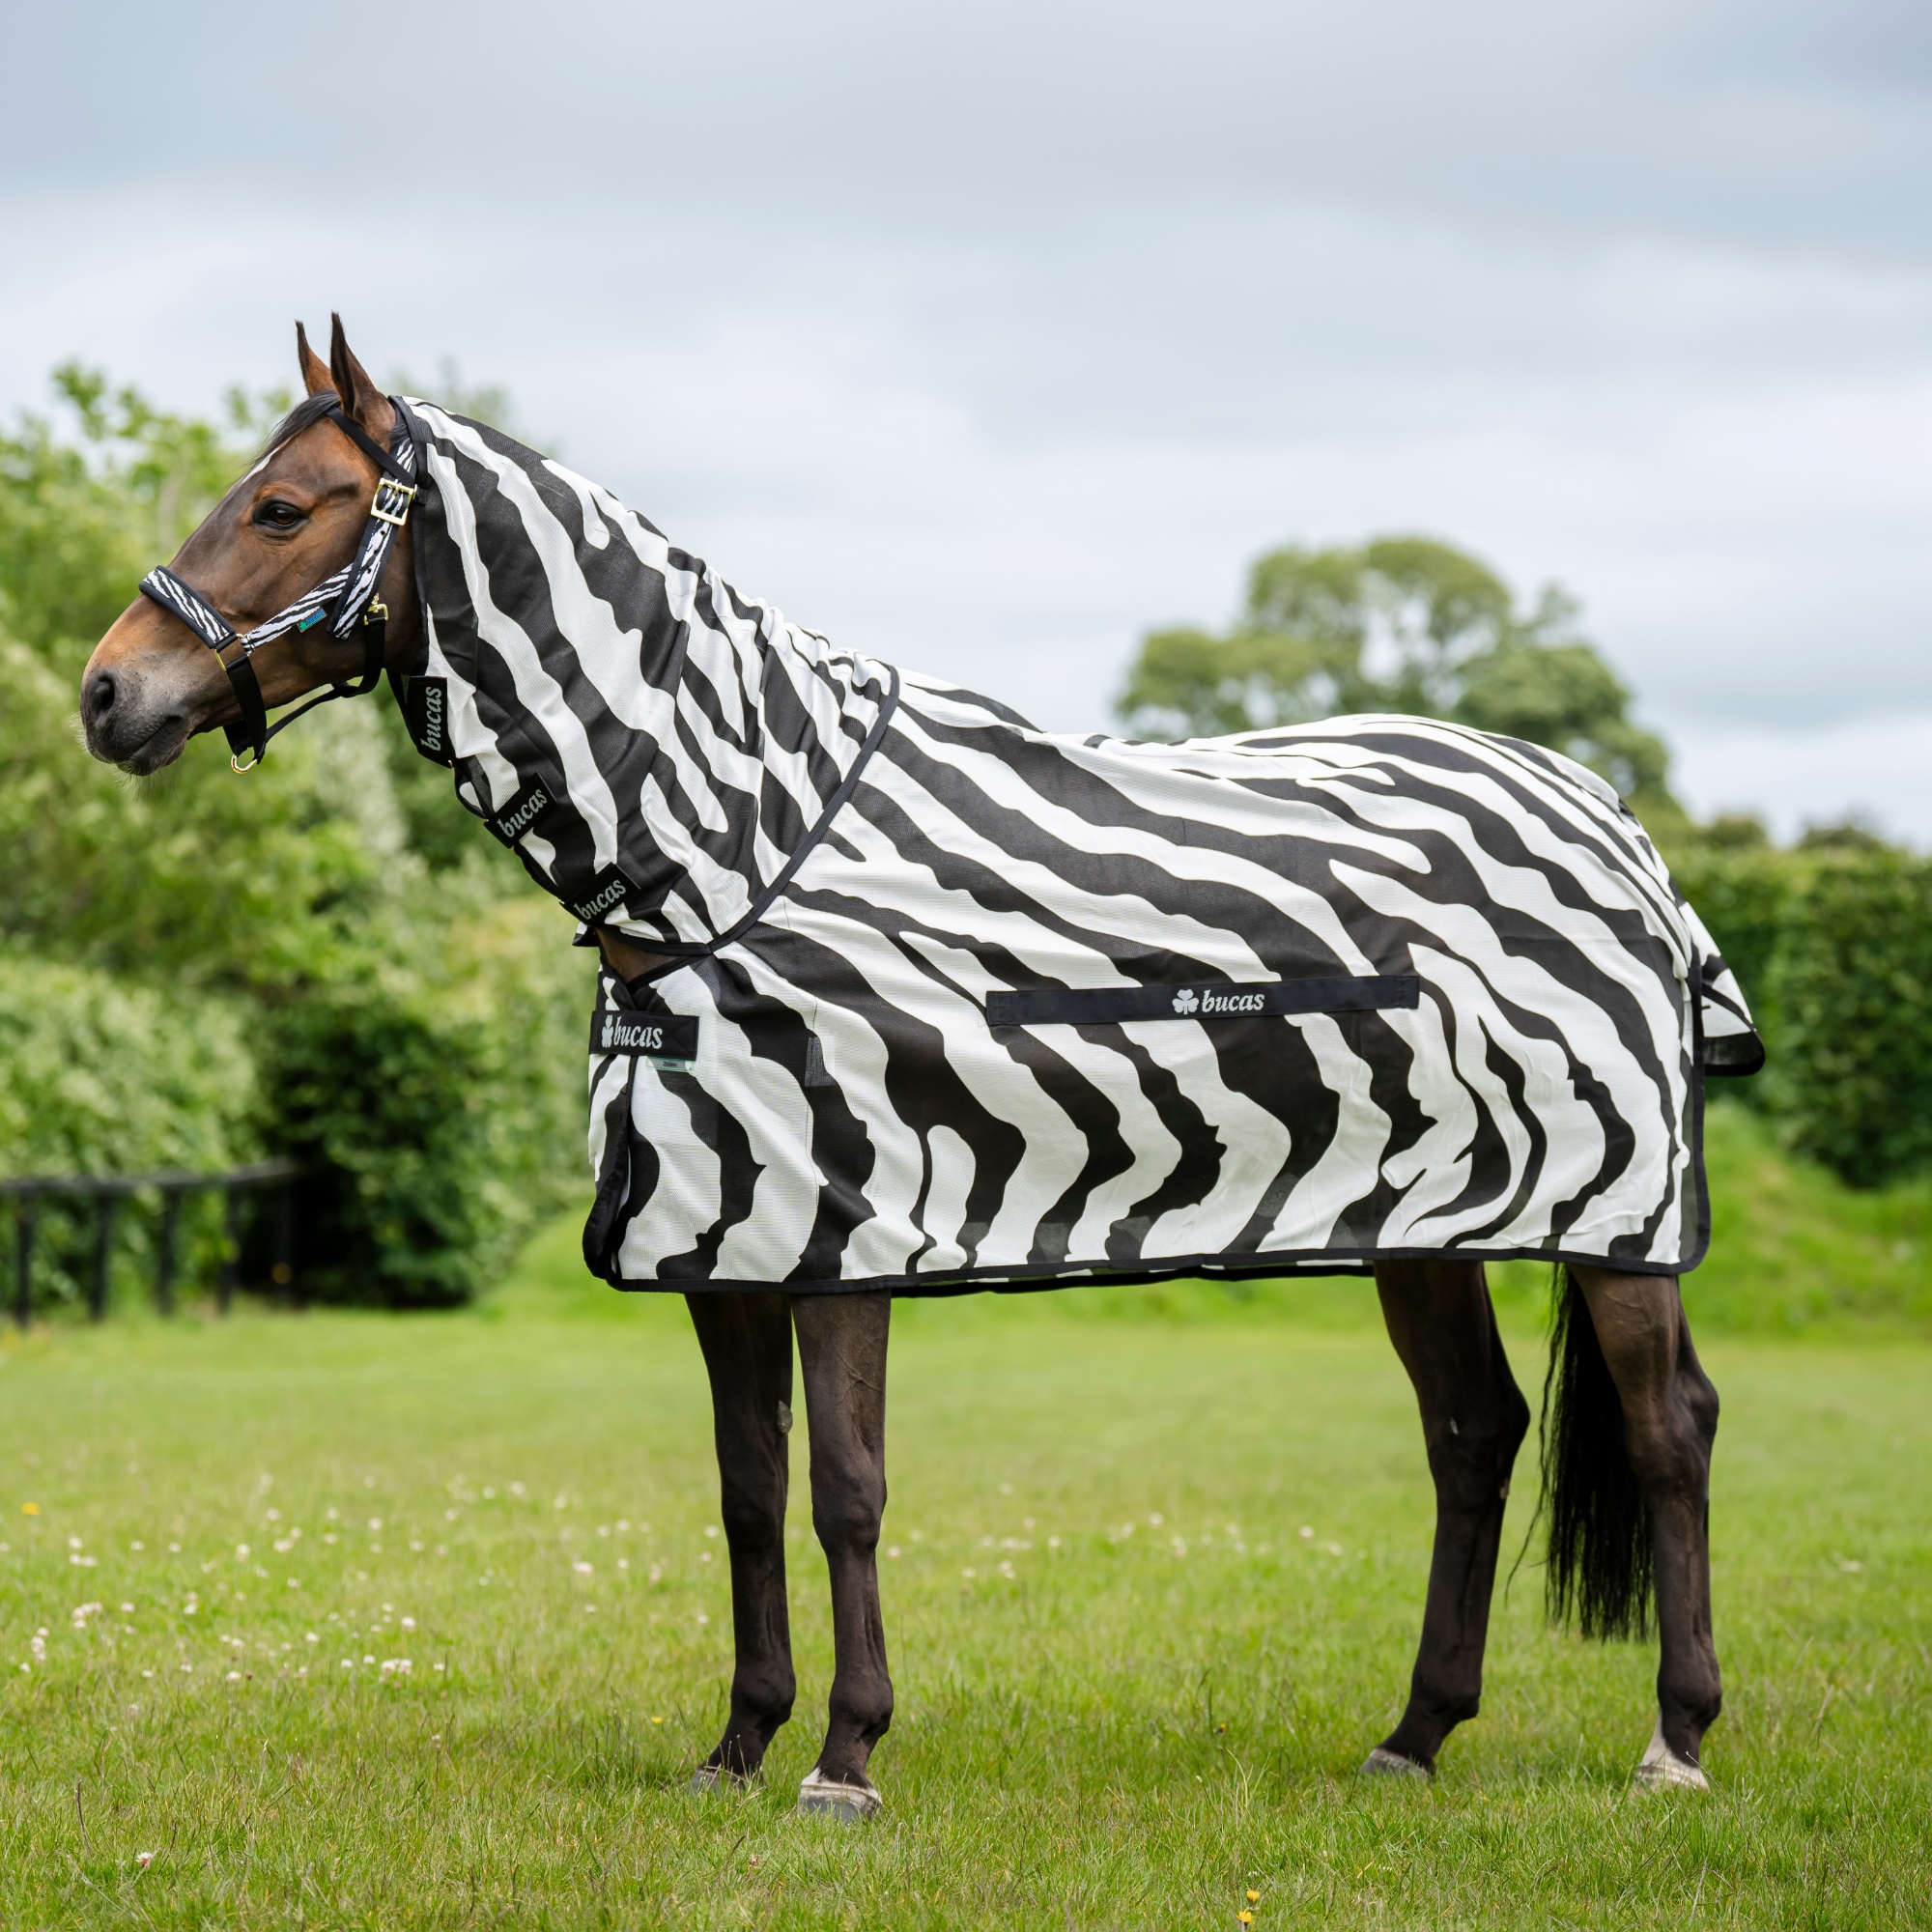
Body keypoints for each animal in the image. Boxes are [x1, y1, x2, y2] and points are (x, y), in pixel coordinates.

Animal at [83, 315, 1747, 1813]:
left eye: (283, 507)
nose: (107, 694)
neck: (732, 845)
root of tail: (1609, 819)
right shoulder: (725, 1241)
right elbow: (749, 1495)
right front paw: (738, 1748)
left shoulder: (841, 1230)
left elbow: (847, 1494)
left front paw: (847, 1759)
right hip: (1425, 1220)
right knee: (1474, 1435)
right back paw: (1414, 1738)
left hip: (1616, 1223)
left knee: (1670, 1430)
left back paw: (1674, 1742)